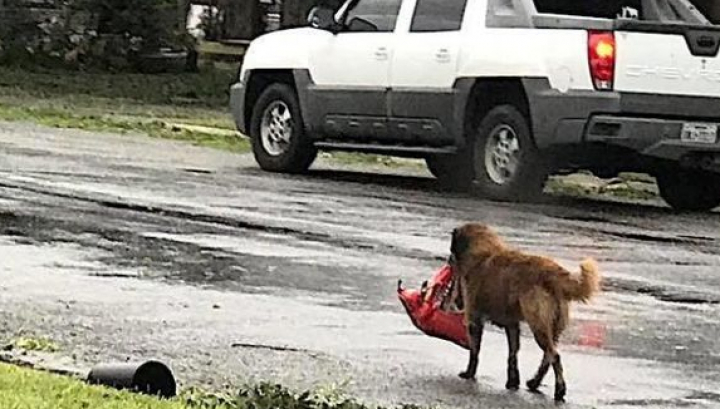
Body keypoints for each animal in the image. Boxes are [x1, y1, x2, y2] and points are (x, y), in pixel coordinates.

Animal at [450, 222, 600, 400]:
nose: (449, 259)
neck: (483, 251)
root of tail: (553, 273)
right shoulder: (512, 325)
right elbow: (513, 354)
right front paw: (513, 382)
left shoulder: (475, 320)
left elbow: (475, 351)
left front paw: (469, 374)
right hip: (553, 328)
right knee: (548, 356)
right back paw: (534, 382)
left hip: (538, 325)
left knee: (554, 356)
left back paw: (559, 390)